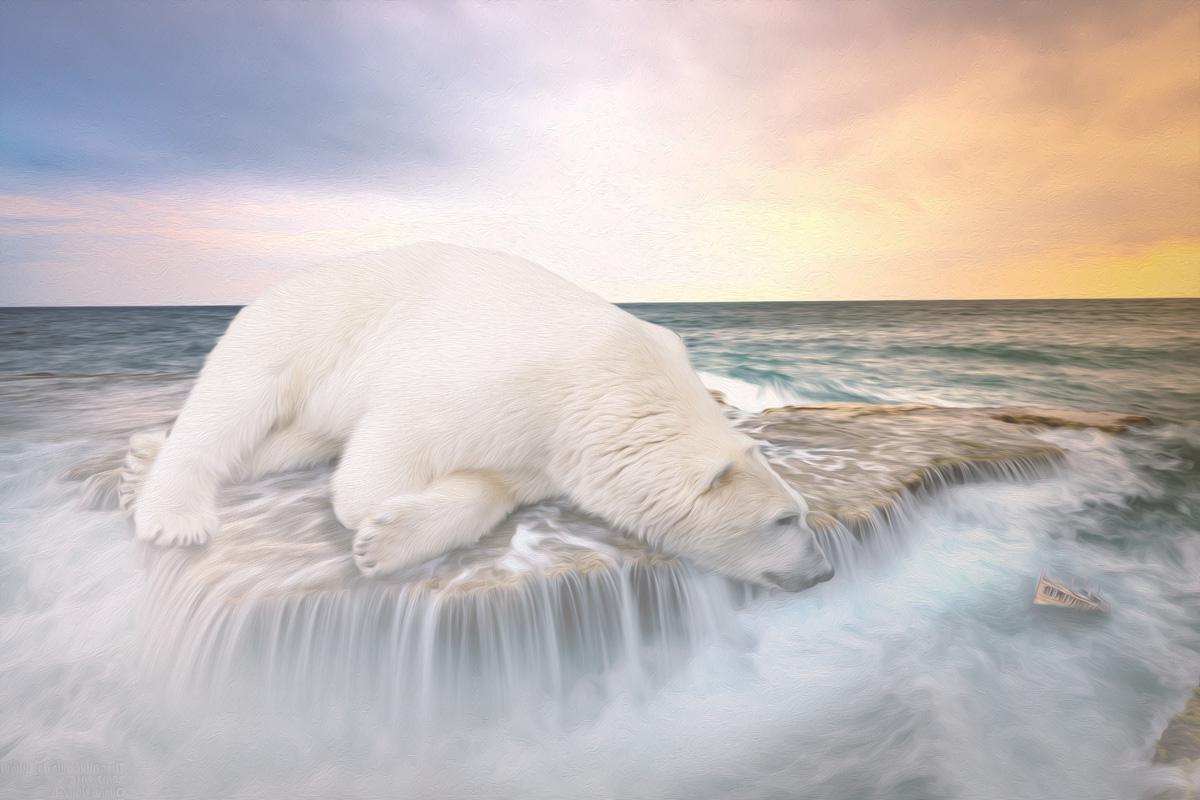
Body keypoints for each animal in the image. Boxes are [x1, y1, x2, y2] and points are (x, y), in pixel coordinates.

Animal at [131, 242, 834, 592]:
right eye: (785, 518)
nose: (826, 570)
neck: (616, 385)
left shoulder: (551, 448)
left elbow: (491, 486)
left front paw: (389, 539)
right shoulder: (508, 377)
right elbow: (399, 437)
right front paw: (370, 516)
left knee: (285, 438)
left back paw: (145, 456)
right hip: (307, 327)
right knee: (236, 399)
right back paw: (173, 511)